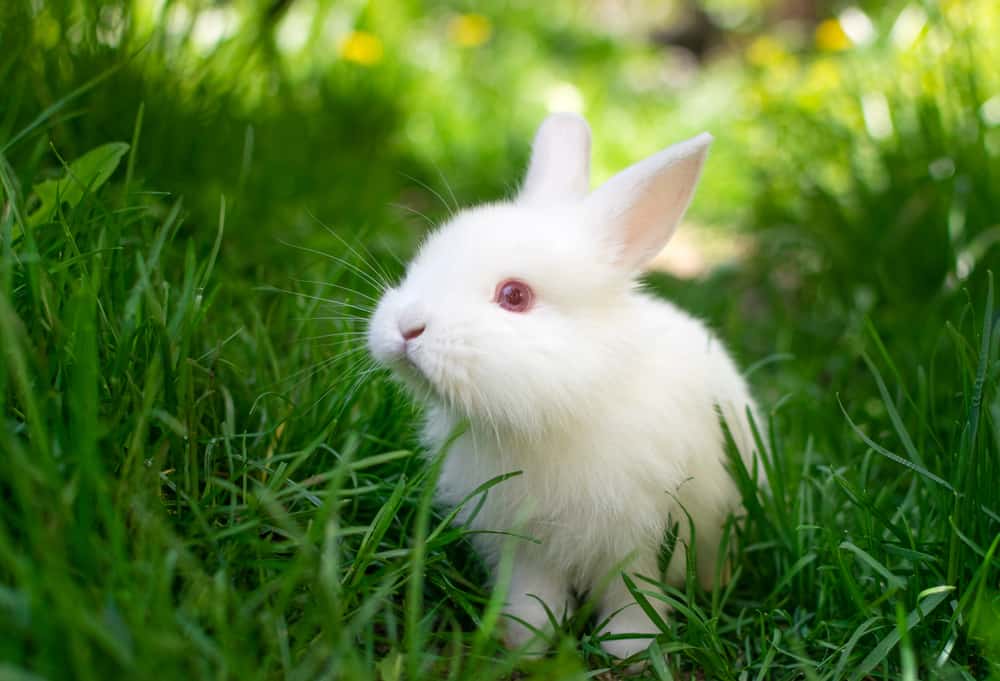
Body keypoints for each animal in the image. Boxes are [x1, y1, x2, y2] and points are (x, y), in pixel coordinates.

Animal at [367, 112, 764, 662]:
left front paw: (631, 650)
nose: (406, 329)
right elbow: (533, 594)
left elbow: (633, 595)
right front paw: (524, 640)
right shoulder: (524, 541)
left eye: (515, 295)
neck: (561, 409)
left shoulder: (637, 540)